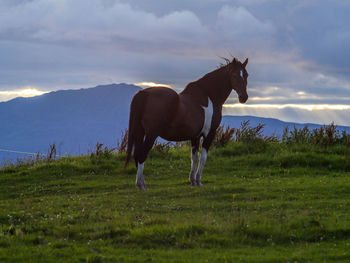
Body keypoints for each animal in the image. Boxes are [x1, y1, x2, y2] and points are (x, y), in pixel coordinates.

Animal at [124, 57, 247, 191]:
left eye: (246, 75)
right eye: (234, 75)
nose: (244, 97)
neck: (209, 97)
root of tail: (143, 94)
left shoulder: (195, 136)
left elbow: (194, 158)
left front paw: (192, 181)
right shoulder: (209, 133)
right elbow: (203, 158)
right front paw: (198, 181)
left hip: (140, 132)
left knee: (137, 155)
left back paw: (142, 183)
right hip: (151, 134)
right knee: (142, 155)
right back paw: (141, 185)